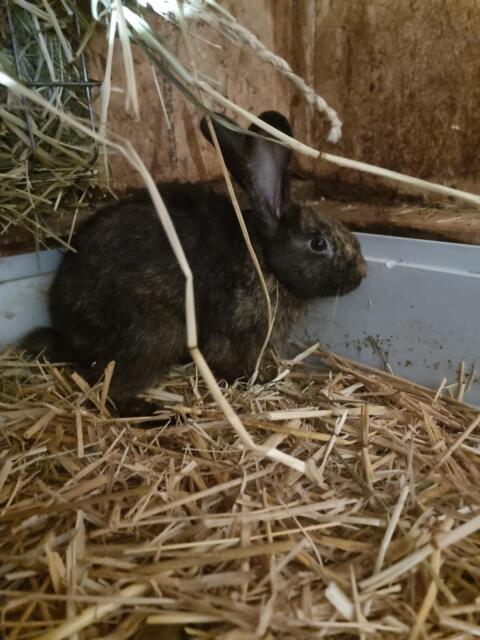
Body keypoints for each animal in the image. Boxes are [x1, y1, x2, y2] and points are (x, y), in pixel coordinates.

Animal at [21, 110, 367, 416]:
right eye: (318, 243)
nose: (362, 272)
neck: (266, 261)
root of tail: (67, 332)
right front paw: (259, 379)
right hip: (154, 333)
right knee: (109, 390)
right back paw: (153, 413)